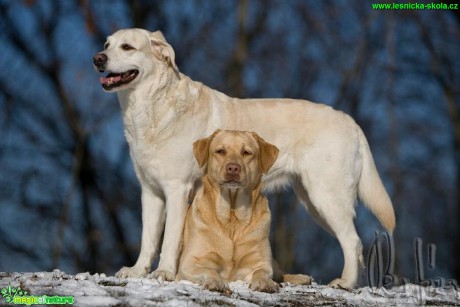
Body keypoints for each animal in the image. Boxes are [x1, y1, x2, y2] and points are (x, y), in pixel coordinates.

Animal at [93, 28, 396, 288]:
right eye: (107, 44)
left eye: (127, 47)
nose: (98, 58)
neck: (151, 106)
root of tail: (350, 121)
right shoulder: (151, 192)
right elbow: (148, 238)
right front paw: (137, 271)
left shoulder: (177, 189)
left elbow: (169, 238)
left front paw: (165, 272)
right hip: (313, 202)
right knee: (351, 242)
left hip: (327, 196)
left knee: (352, 241)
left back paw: (345, 282)